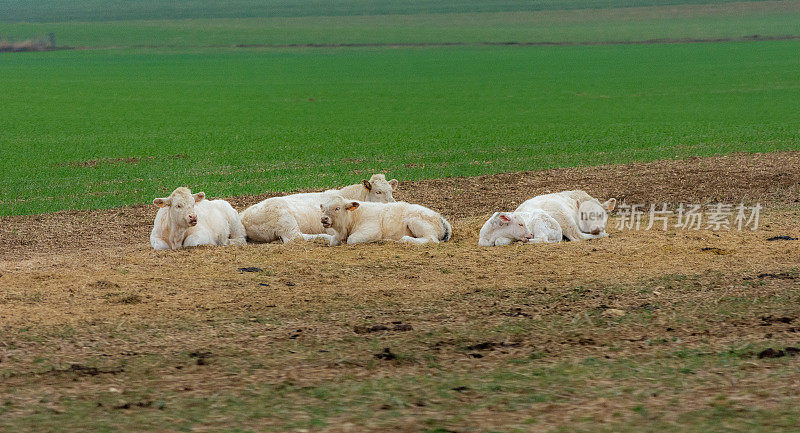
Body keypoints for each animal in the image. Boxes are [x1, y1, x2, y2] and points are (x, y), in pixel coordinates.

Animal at [239, 173, 398, 243]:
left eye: (391, 190)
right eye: (378, 192)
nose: (393, 203)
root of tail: (242, 215)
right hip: (285, 219)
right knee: (296, 237)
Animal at [322, 192, 454, 245]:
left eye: (337, 208)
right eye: (324, 209)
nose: (324, 219)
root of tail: (440, 218)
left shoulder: (371, 230)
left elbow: (351, 239)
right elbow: (333, 241)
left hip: (415, 221)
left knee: (431, 239)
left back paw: (405, 239)